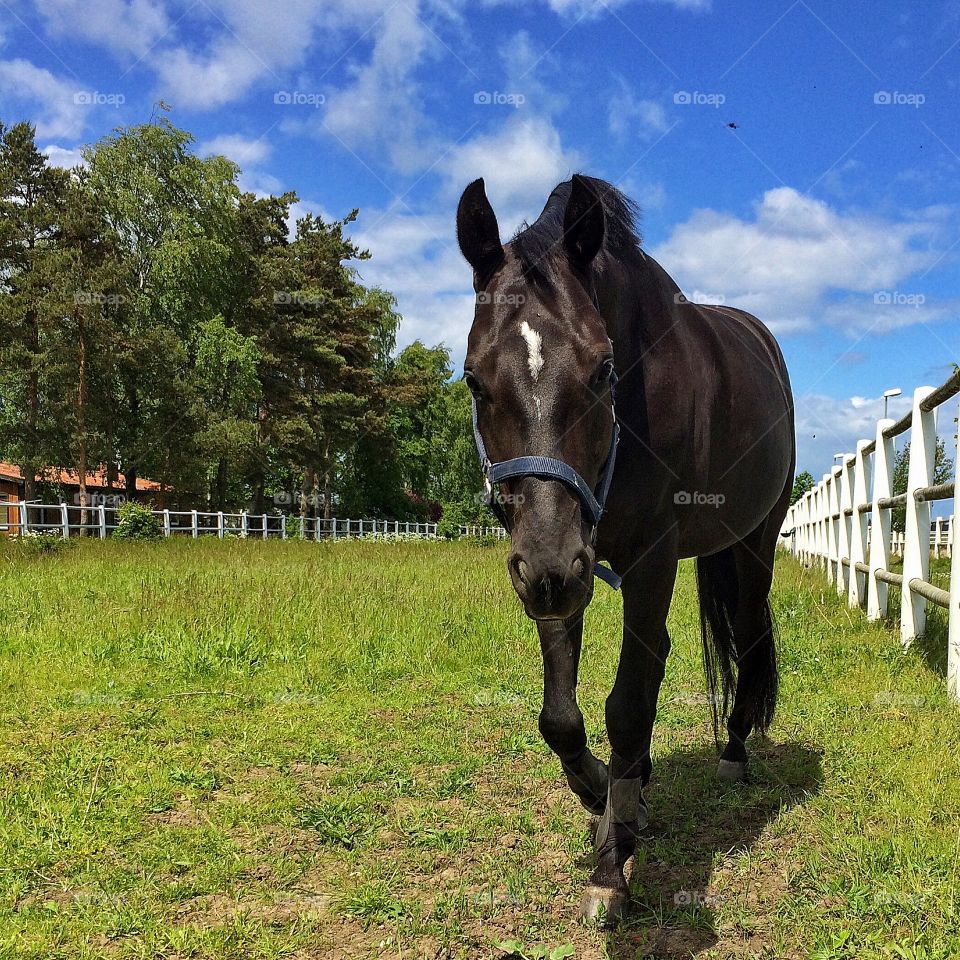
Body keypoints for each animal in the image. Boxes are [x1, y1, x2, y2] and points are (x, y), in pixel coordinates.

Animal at [458, 172, 796, 924]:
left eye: (602, 368)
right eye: (472, 379)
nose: (547, 569)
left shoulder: (647, 556)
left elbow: (627, 704)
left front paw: (613, 865)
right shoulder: (568, 566)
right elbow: (563, 714)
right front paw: (599, 792)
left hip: (753, 542)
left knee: (747, 635)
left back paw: (733, 750)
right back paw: (633, 782)